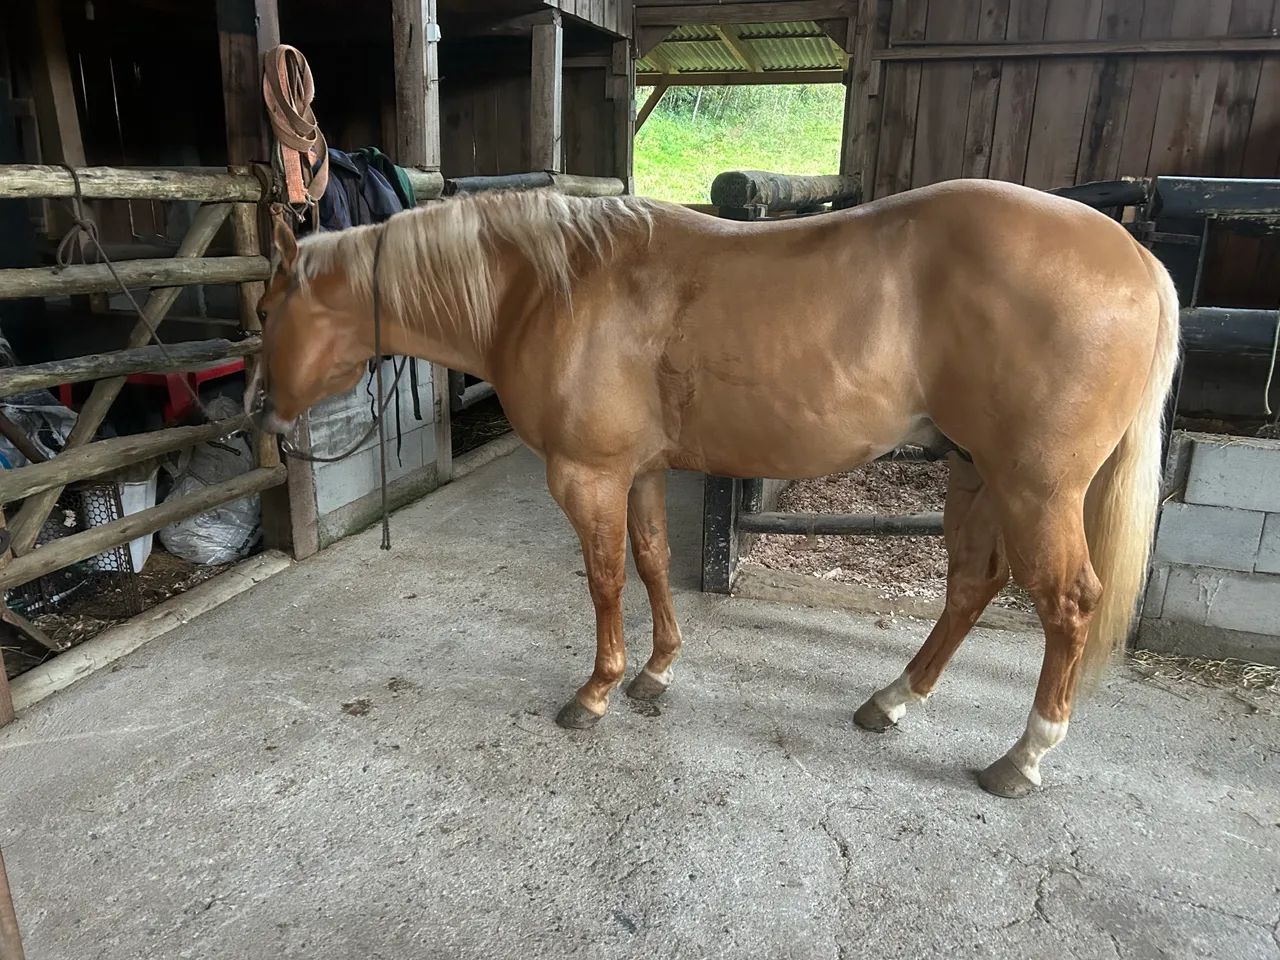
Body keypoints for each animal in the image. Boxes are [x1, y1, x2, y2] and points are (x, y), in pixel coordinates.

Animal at [248, 179, 1179, 798]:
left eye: (263, 311)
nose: (263, 417)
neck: (545, 289)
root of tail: (1134, 255)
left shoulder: (587, 476)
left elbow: (605, 580)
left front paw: (596, 691)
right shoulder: (643, 472)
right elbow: (653, 561)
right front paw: (656, 672)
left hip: (1036, 486)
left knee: (1067, 602)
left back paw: (1023, 757)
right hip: (973, 470)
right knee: (972, 585)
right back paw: (892, 701)